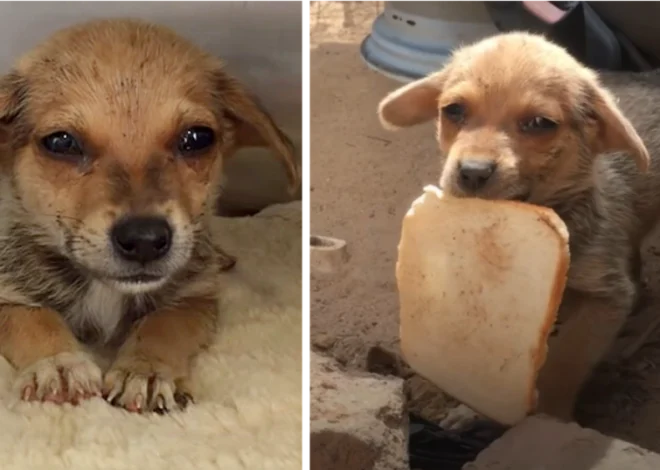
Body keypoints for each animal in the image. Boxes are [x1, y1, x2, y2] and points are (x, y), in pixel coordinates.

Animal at [0, 18, 300, 412]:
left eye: (197, 138)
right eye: (61, 142)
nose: (144, 240)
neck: (105, 289)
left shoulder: (194, 299)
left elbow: (163, 324)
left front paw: (146, 369)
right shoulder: (6, 293)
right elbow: (35, 317)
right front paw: (59, 363)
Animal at [376, 33, 660, 422]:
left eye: (540, 123)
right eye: (453, 110)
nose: (472, 172)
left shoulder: (605, 298)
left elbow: (566, 362)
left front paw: (549, 419)